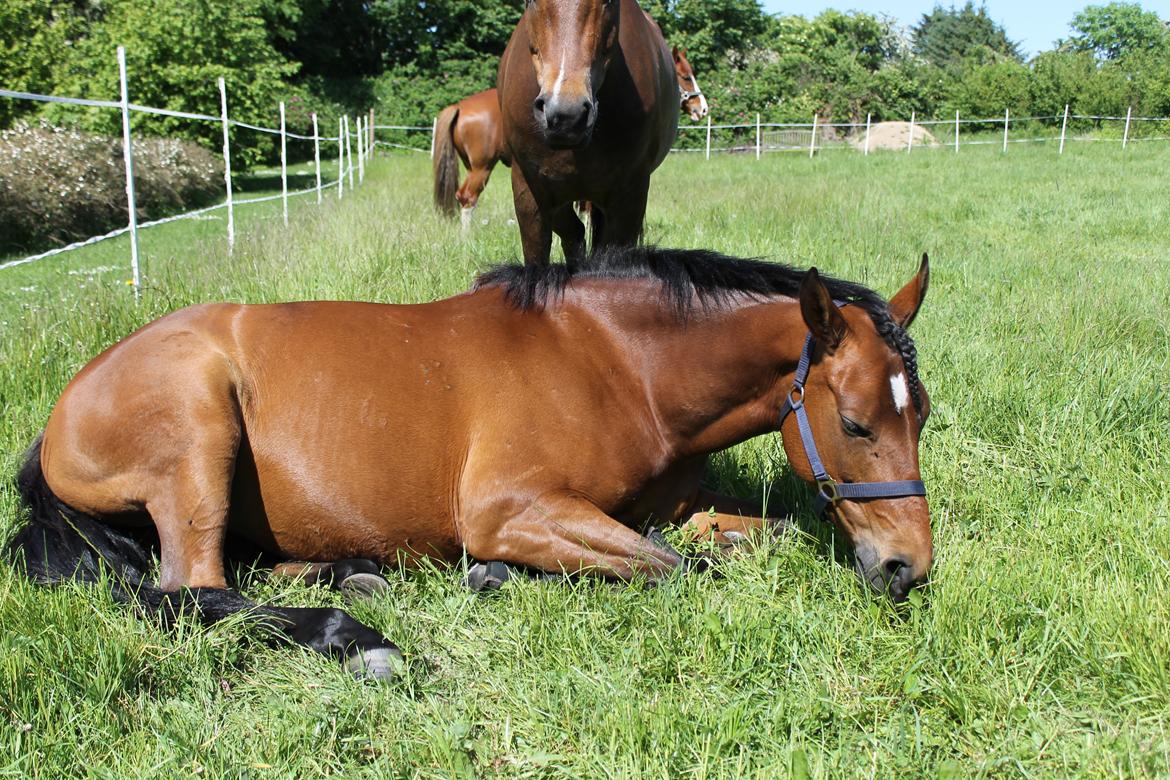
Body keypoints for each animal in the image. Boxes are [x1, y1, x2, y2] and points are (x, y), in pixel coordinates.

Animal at [2, 246, 931, 678]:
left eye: (920, 412)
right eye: (855, 423)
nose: (907, 568)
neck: (616, 362)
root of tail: (57, 421)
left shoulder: (671, 507)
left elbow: (747, 536)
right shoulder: (507, 508)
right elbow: (672, 567)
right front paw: (492, 575)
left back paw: (356, 575)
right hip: (200, 431)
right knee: (187, 592)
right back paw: (357, 638)